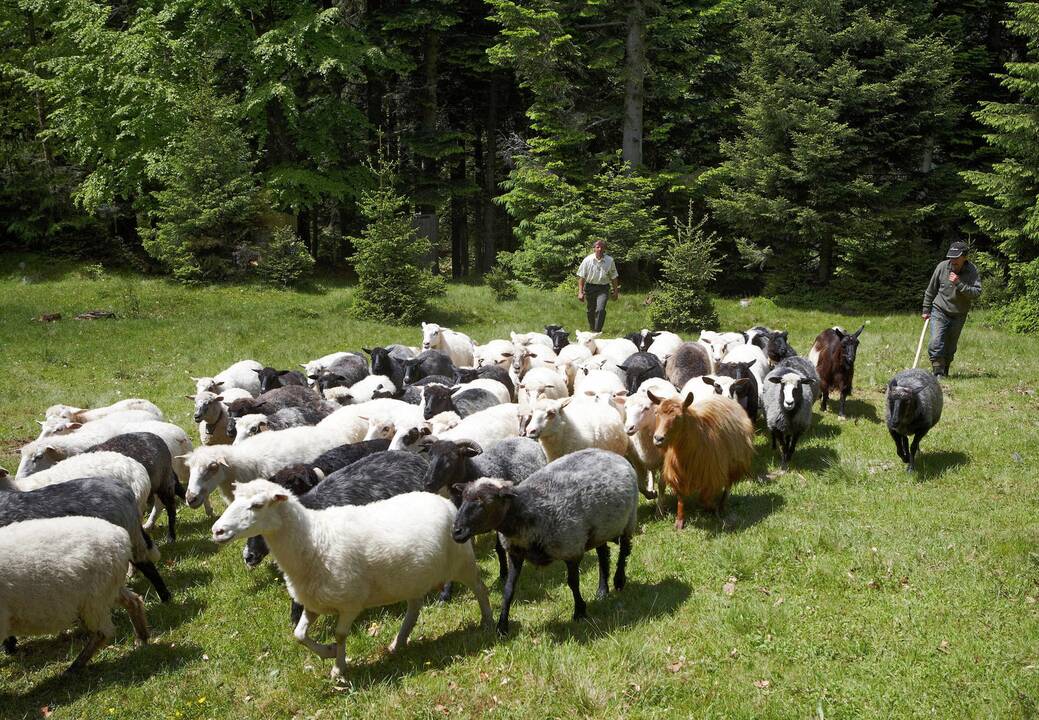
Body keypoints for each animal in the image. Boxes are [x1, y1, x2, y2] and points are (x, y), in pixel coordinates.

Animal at [0, 513, 150, 673]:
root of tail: (120, 536)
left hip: (94, 599)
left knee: (103, 632)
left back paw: (74, 667)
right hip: (109, 589)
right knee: (134, 602)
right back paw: (142, 639)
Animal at [212, 480, 492, 677]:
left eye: (257, 505)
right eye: (233, 500)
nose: (217, 531)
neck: (313, 539)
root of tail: (442, 500)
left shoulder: (349, 603)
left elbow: (340, 634)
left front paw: (339, 667)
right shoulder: (313, 602)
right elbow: (299, 635)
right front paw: (327, 652)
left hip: (462, 562)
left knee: (480, 589)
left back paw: (488, 622)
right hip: (413, 578)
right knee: (414, 609)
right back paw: (397, 643)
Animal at [453, 448, 635, 635]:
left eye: (484, 502)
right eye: (463, 498)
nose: (456, 532)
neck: (528, 511)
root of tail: (609, 452)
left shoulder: (571, 549)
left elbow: (573, 583)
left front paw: (579, 611)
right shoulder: (515, 553)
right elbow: (509, 589)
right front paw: (502, 626)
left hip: (629, 518)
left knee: (625, 549)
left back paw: (619, 580)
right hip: (600, 529)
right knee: (603, 553)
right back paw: (602, 590)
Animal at [644, 392, 752, 527]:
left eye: (678, 417)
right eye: (656, 413)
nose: (658, 438)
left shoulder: (711, 475)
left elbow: (703, 499)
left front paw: (713, 508)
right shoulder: (678, 474)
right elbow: (681, 498)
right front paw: (680, 521)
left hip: (734, 464)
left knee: (727, 485)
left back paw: (722, 506)